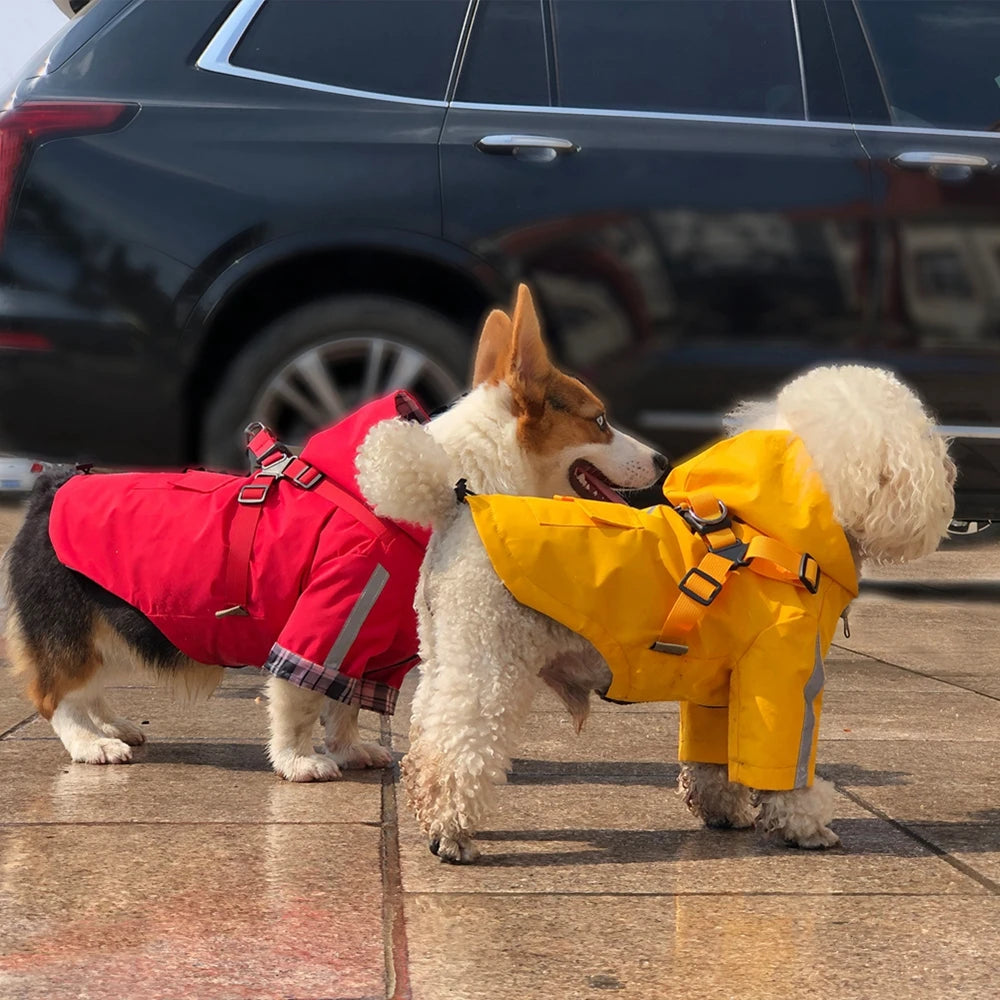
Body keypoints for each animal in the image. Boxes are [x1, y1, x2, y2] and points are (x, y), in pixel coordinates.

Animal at [1, 286, 672, 776]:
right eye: (601, 421)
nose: (665, 460)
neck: (445, 480)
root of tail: (50, 485)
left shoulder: (371, 647)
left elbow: (345, 704)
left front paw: (351, 751)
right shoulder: (323, 624)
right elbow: (298, 701)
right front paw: (300, 763)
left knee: (84, 688)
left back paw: (111, 726)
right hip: (72, 629)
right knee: (52, 695)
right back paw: (91, 745)